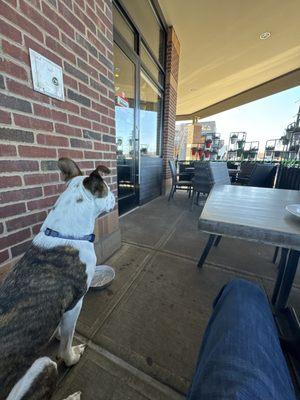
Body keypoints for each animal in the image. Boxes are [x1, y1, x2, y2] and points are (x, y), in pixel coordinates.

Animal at [0, 159, 115, 400]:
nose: (115, 197)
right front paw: (71, 355)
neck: (66, 234)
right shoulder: (74, 305)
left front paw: (57, 333)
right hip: (43, 365)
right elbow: (67, 342)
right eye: (107, 189)